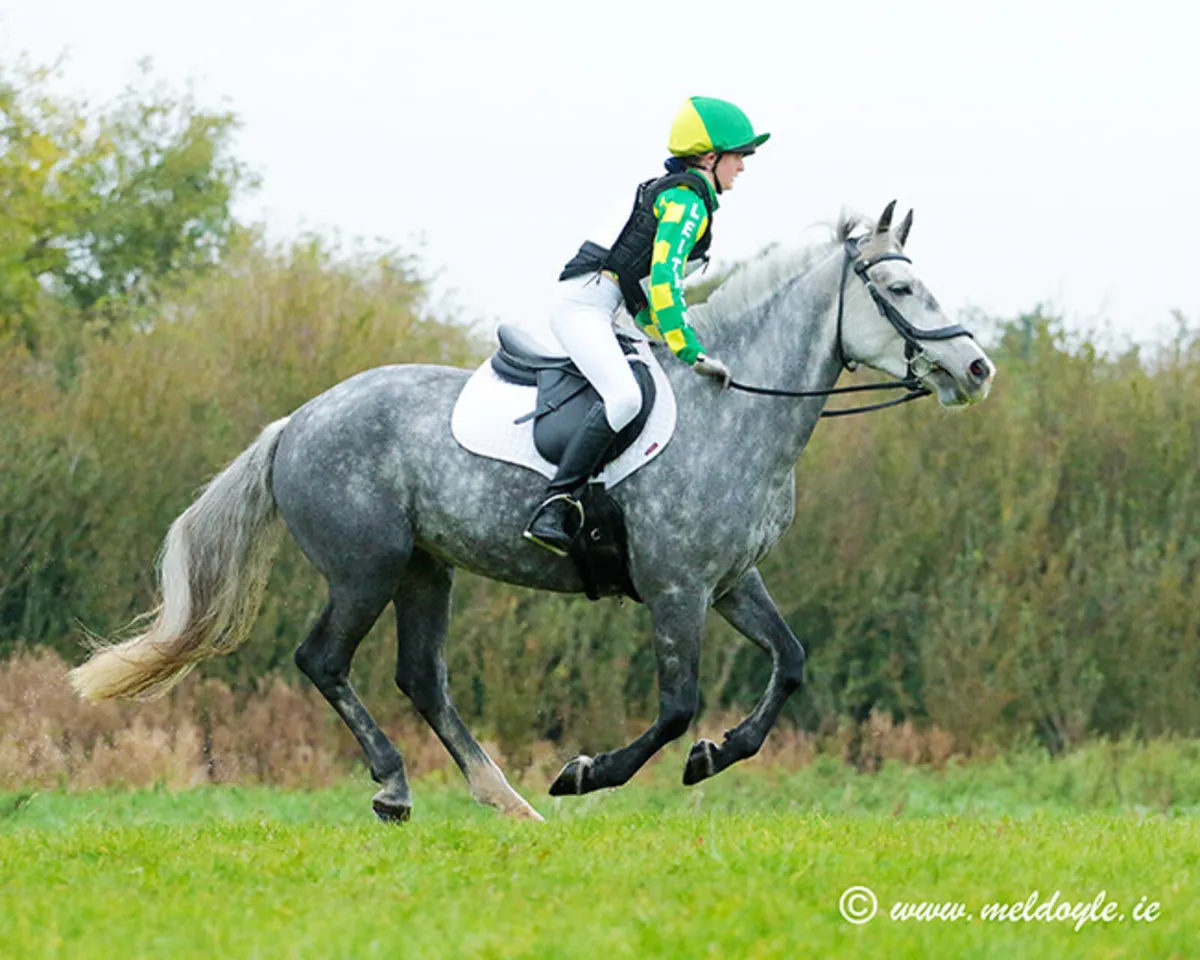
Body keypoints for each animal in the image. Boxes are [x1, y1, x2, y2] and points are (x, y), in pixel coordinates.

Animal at [69, 201, 995, 822]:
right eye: (902, 285)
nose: (977, 369)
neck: (735, 409)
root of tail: (296, 422)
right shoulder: (677, 587)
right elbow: (676, 704)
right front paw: (587, 772)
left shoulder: (731, 582)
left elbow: (792, 664)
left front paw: (713, 758)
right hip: (366, 568)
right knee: (324, 660)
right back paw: (399, 785)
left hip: (426, 568)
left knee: (421, 677)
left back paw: (504, 797)